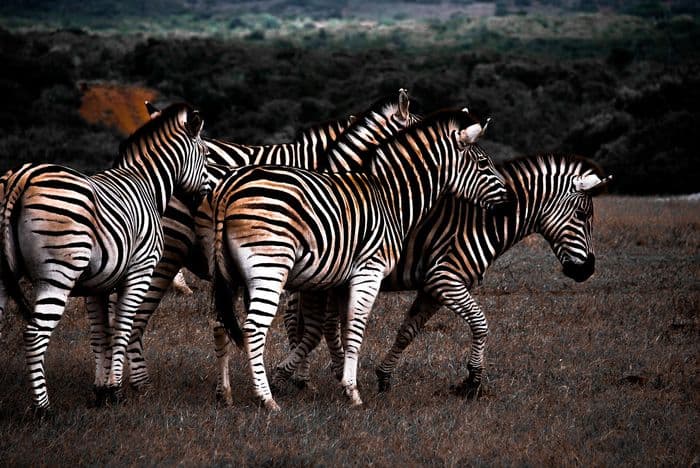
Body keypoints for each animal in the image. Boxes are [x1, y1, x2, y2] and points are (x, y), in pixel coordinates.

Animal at [0, 102, 209, 414]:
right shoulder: (139, 273)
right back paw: (43, 409)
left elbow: (101, 334)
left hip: (6, 275)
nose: (205, 195)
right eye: (206, 154)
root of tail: (23, 177)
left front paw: (100, 391)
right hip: (58, 274)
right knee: (35, 334)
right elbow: (122, 328)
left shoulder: (96, 285)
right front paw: (115, 390)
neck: (147, 185)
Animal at [209, 108, 510, 411]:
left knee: (221, 324)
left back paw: (225, 394)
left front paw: (340, 380)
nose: (508, 199)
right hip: (270, 267)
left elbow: (338, 329)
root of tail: (229, 188)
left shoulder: (340, 281)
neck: (390, 198)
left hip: (230, 273)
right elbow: (355, 328)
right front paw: (352, 392)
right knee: (253, 329)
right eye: (483, 163)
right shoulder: (369, 271)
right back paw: (267, 399)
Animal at [367, 153, 612, 398]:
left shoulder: (431, 288)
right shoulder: (444, 279)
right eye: (581, 215)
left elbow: (407, 332)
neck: (478, 224)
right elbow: (480, 323)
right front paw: (473, 381)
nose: (588, 270)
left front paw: (384, 378)